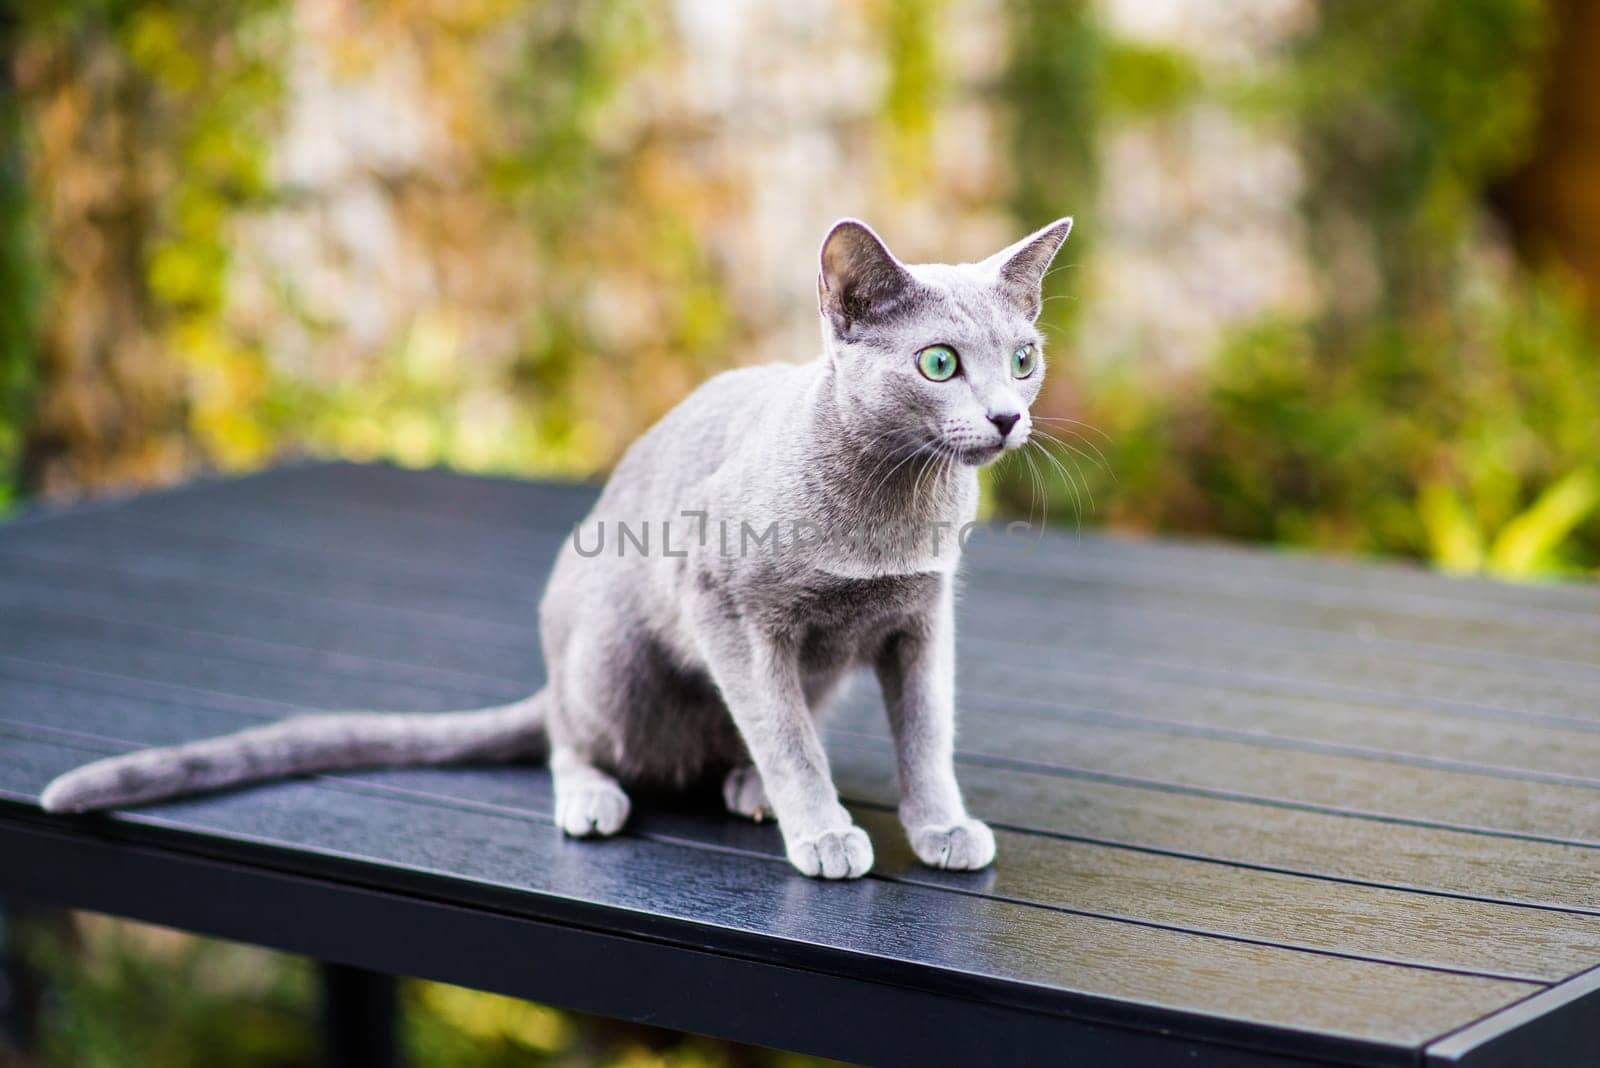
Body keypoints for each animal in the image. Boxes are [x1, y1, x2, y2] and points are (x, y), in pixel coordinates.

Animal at [40, 212, 1075, 882]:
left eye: (1023, 357)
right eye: (938, 363)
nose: (1005, 415)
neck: (896, 505)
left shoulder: (921, 622)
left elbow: (927, 732)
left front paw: (942, 827)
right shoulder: (723, 603)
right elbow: (784, 733)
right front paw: (821, 831)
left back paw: (743, 785)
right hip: (612, 657)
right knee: (569, 739)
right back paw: (601, 799)